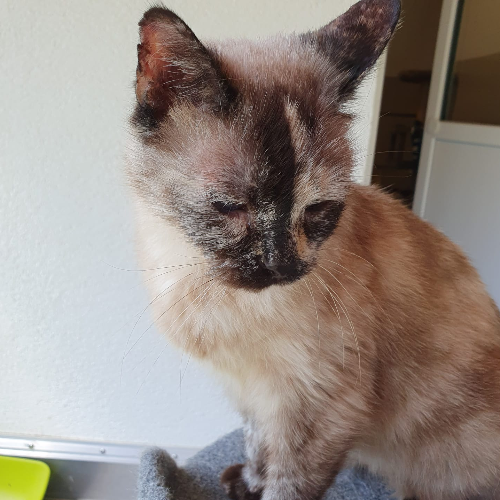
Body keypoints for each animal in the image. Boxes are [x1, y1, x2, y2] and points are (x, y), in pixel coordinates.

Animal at [126, 0, 500, 499]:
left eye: (318, 208)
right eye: (230, 207)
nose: (283, 266)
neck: (193, 274)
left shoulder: (319, 406)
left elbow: (287, 484)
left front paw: (260, 487)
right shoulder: (253, 394)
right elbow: (256, 443)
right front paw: (248, 482)